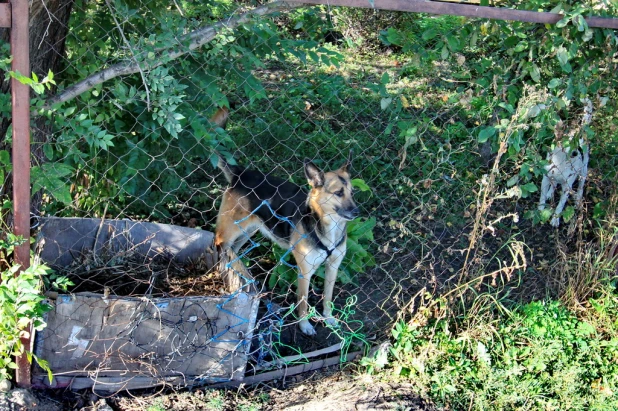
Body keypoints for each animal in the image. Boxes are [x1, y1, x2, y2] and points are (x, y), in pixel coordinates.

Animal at [214, 153, 358, 336]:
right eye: (339, 193)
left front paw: (328, 318)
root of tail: (240, 173)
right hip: (230, 231)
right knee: (218, 244)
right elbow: (303, 302)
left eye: (352, 193)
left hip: (248, 230)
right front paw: (304, 325)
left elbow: (328, 297)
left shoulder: (333, 267)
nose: (357, 212)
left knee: (232, 250)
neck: (327, 225)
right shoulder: (304, 273)